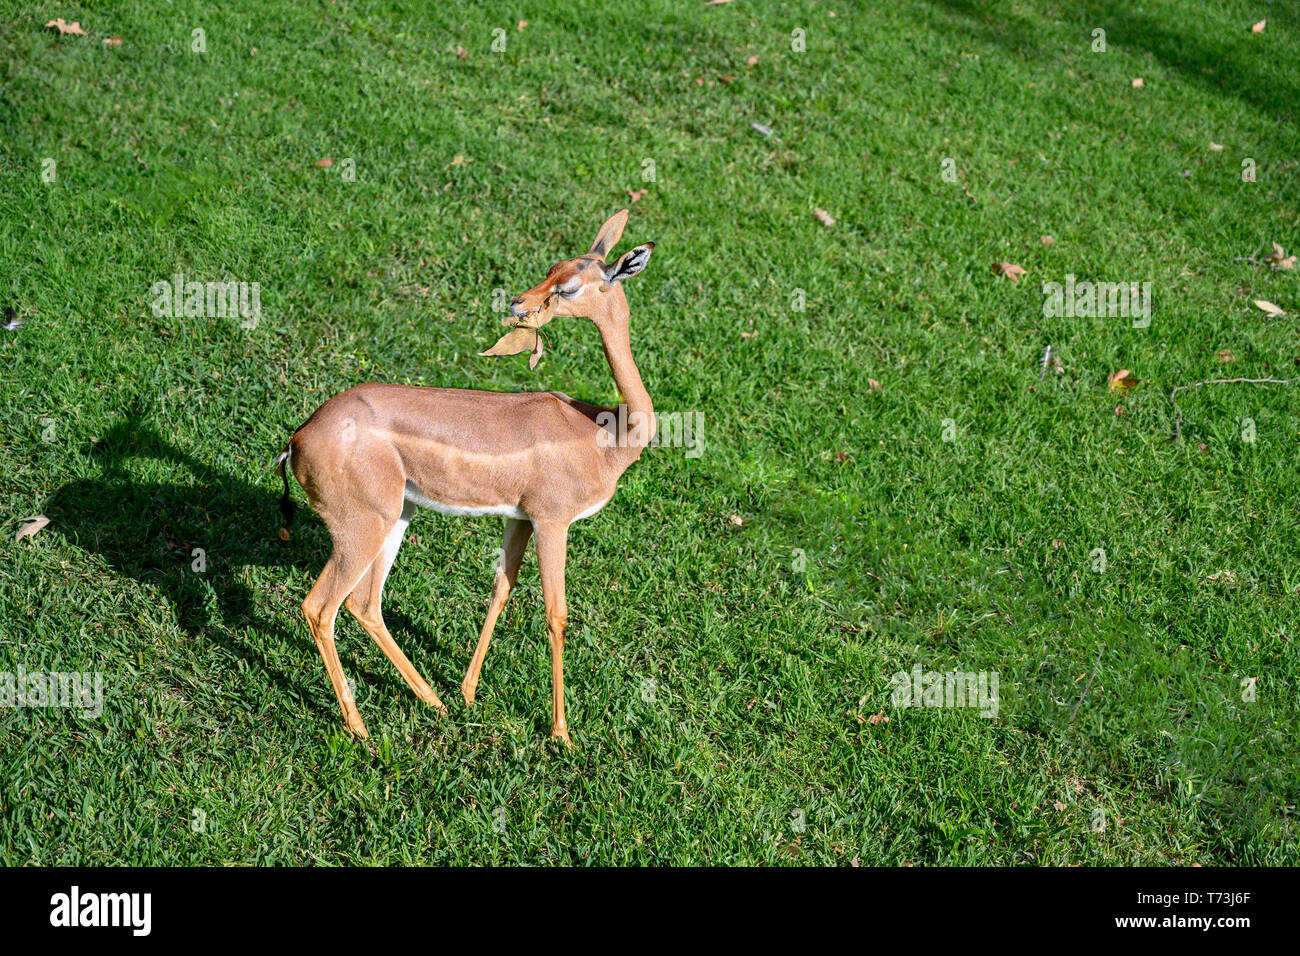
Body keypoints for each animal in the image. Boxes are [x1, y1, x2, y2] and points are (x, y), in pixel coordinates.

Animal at [275, 210, 660, 749]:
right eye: (552, 270)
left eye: (566, 282)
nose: (518, 302)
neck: (607, 434)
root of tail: (299, 436)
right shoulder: (554, 520)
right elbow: (556, 613)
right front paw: (561, 733)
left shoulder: (520, 518)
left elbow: (501, 588)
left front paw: (469, 692)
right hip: (362, 528)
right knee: (320, 607)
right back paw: (361, 729)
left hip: (398, 517)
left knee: (366, 604)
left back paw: (433, 701)